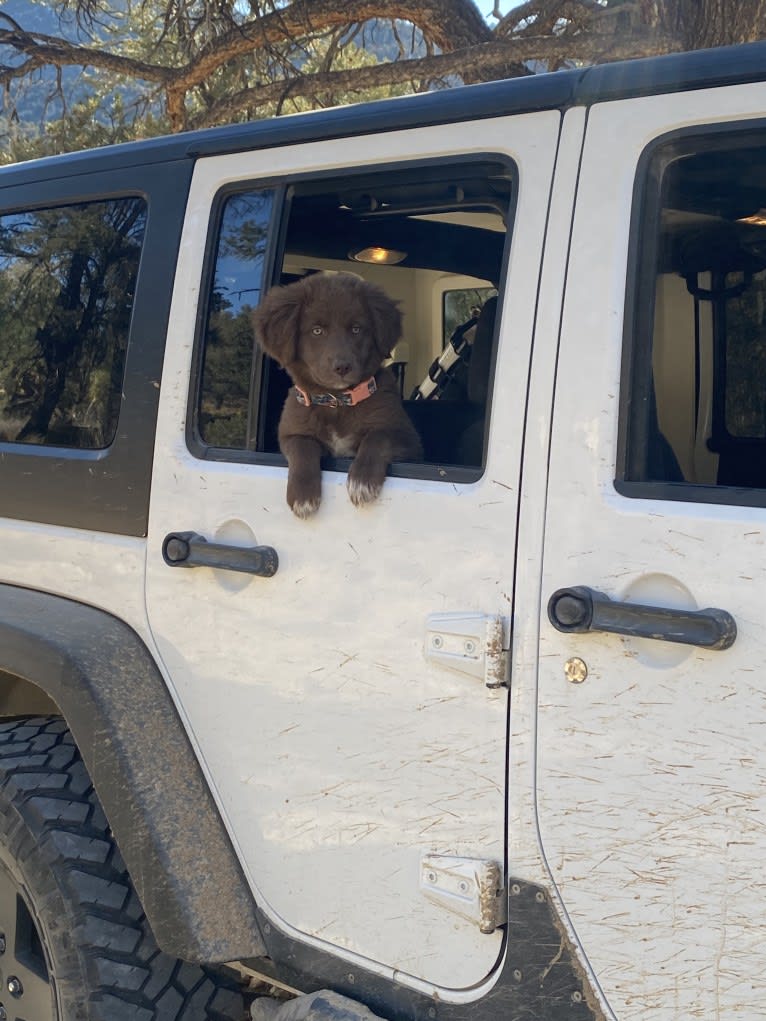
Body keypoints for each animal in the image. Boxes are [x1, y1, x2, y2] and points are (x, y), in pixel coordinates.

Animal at [252, 273, 422, 518]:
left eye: (356, 329)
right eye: (317, 330)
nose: (342, 367)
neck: (337, 401)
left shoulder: (409, 440)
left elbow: (379, 436)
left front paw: (362, 482)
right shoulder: (291, 433)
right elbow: (302, 447)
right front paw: (303, 497)